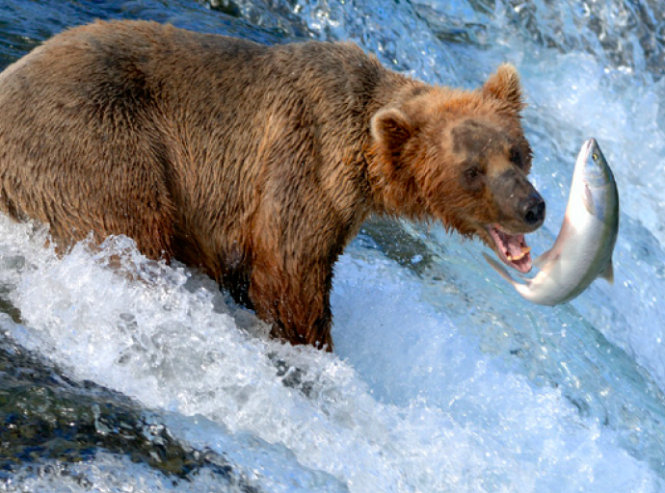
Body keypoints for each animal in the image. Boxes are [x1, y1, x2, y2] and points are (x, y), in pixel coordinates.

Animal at [0, 20, 545, 350]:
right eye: (472, 170)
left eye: (517, 152)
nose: (532, 207)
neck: (363, 161)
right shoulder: (300, 163)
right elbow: (288, 274)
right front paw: (312, 347)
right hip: (97, 140)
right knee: (126, 230)